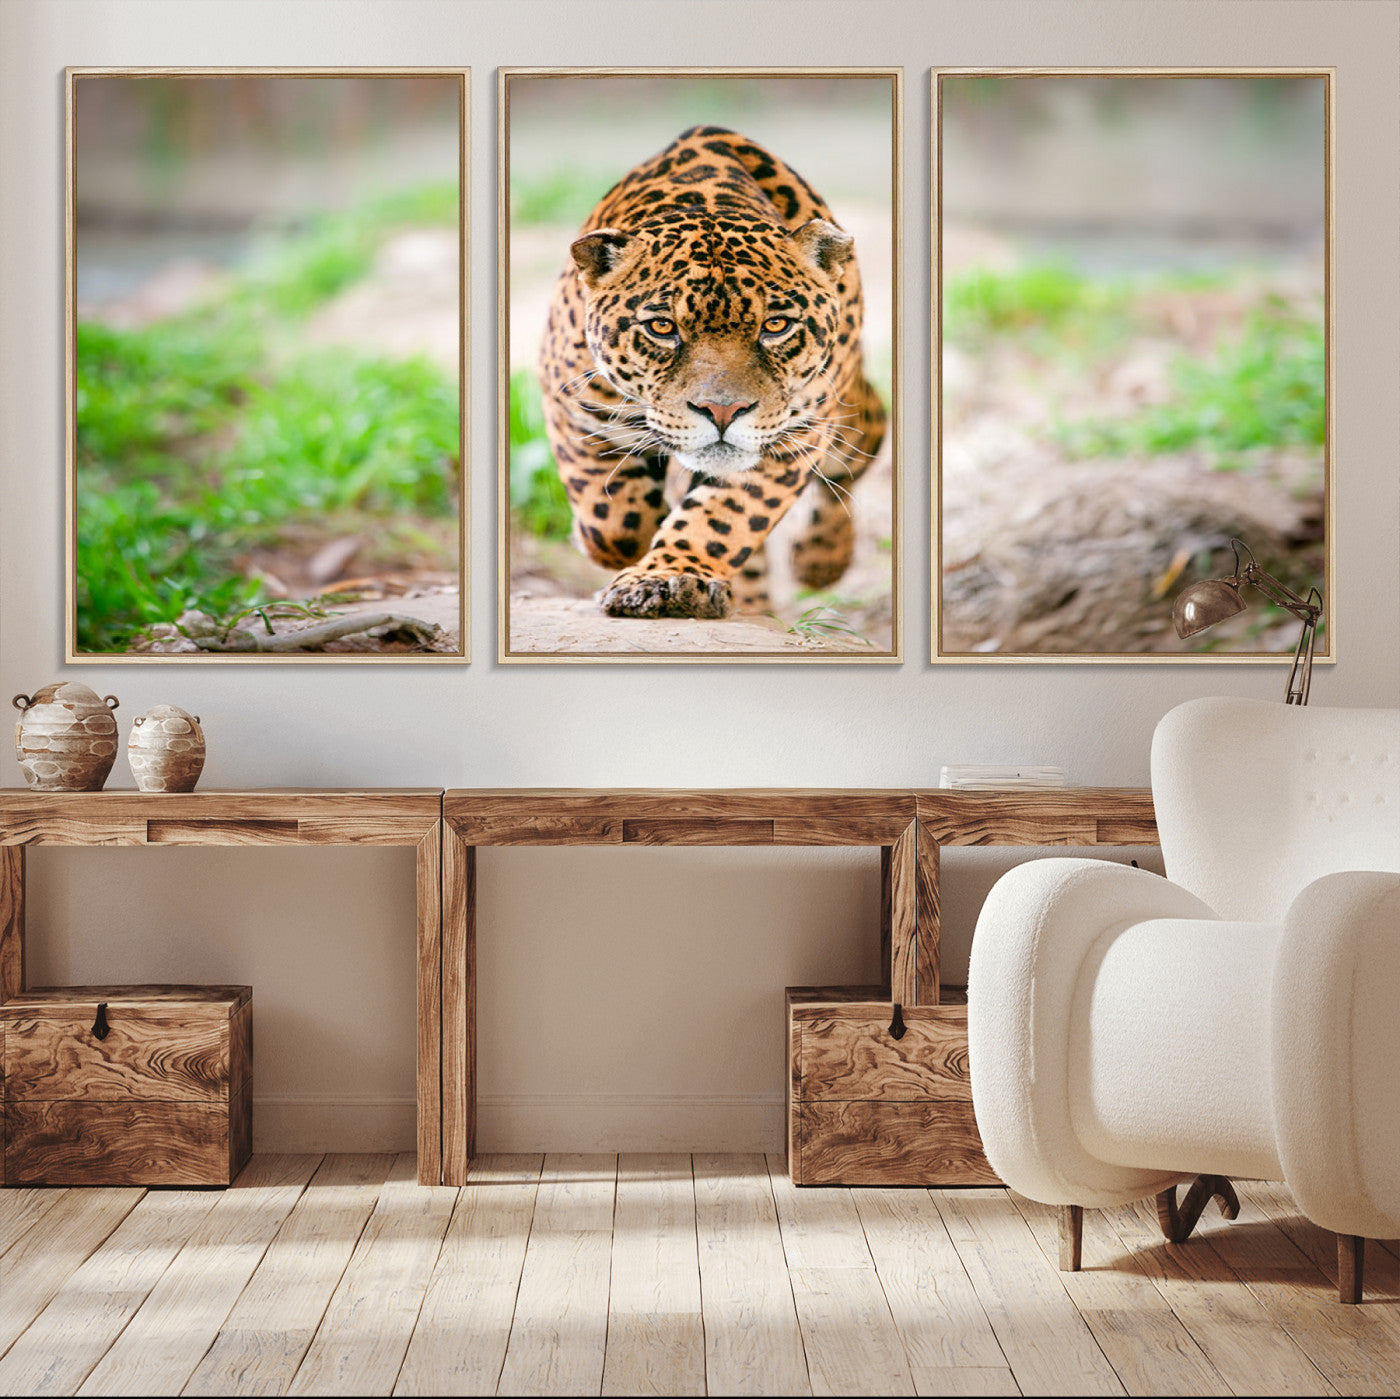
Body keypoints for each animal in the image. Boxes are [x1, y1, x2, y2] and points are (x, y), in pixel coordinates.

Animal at [536, 124, 887, 621]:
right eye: (662, 327)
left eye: (775, 326)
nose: (723, 412)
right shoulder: (574, 404)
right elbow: (612, 520)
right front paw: (629, 546)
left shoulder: (793, 436)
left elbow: (724, 517)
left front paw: (668, 577)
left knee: (862, 442)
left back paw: (821, 560)